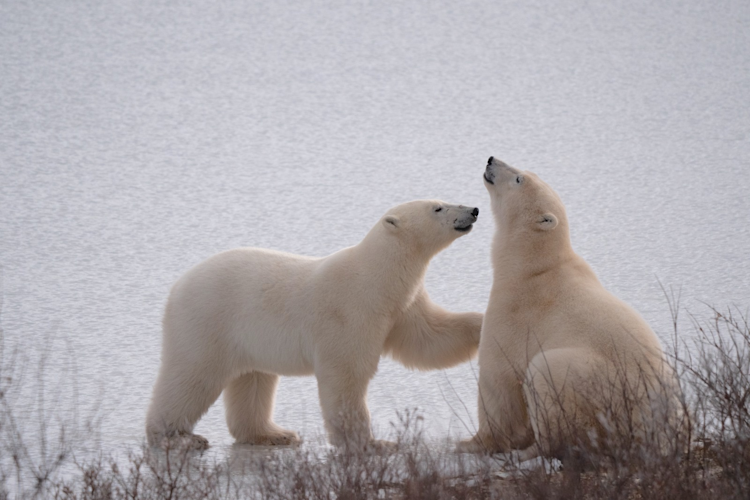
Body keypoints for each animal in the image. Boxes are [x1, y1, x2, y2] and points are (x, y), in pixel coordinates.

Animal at [146, 200, 484, 451]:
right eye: (437, 207)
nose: (473, 210)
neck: (375, 279)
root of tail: (177, 286)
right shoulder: (351, 310)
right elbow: (346, 374)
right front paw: (372, 444)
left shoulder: (402, 307)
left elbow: (428, 340)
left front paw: (481, 324)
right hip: (208, 320)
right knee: (192, 376)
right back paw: (177, 438)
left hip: (248, 335)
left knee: (253, 379)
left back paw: (274, 434)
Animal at [458, 157, 683, 460]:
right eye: (526, 172)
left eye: (519, 179)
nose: (491, 159)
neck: (533, 266)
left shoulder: (516, 308)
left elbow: (499, 378)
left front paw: (470, 444)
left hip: (590, 380)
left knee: (544, 378)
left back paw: (528, 452)